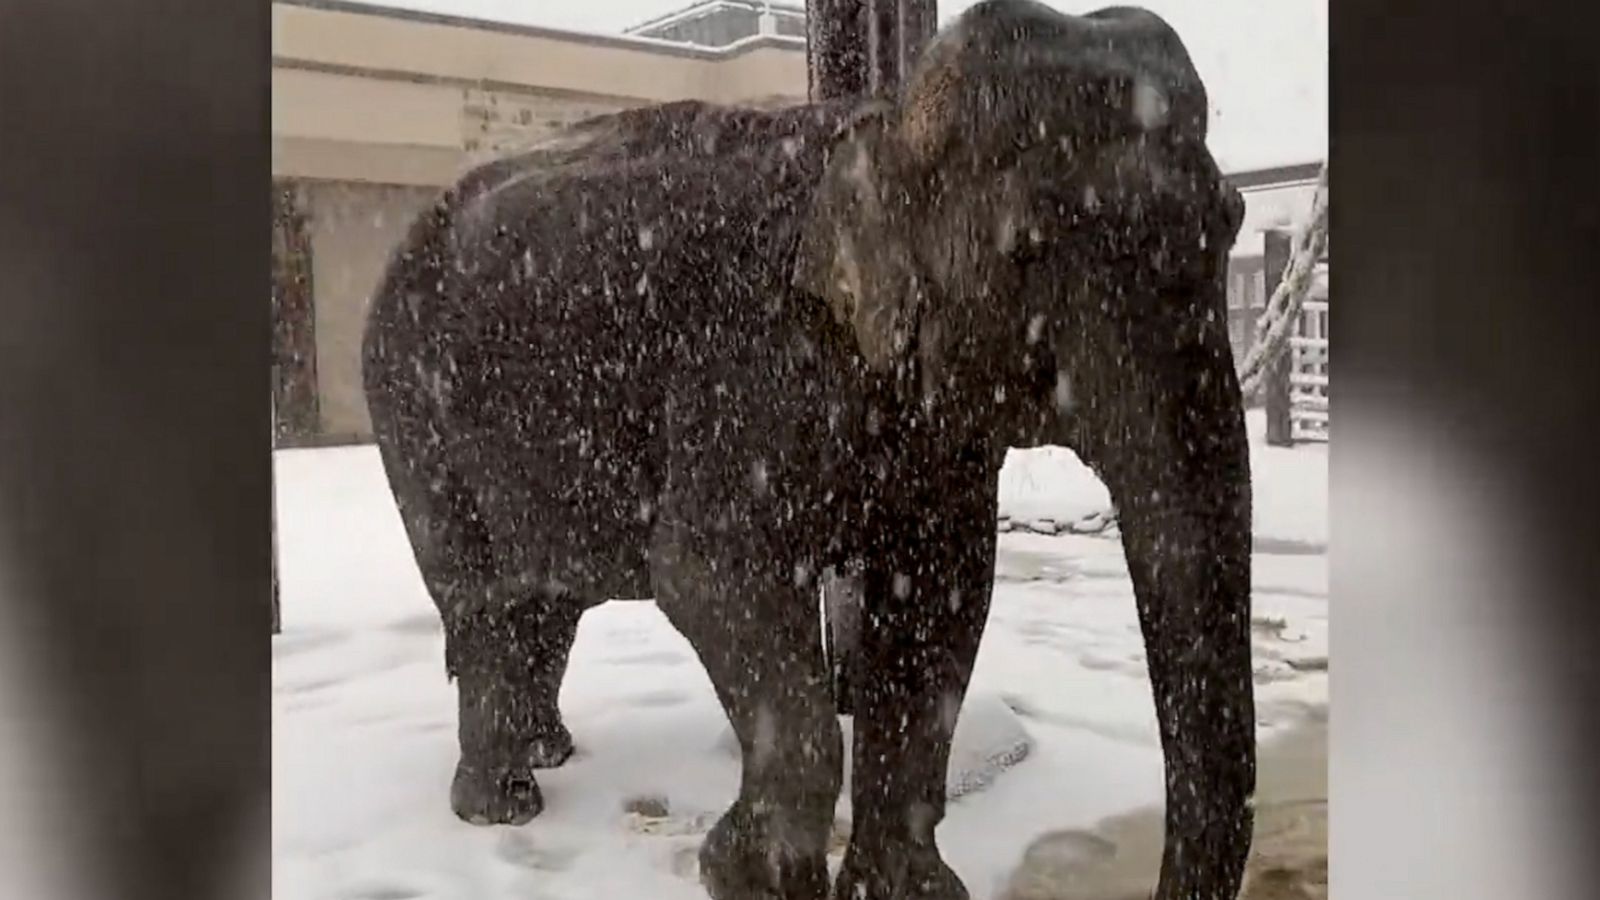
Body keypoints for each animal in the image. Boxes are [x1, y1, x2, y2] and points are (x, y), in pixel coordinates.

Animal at [360, 1, 1248, 896]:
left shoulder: (934, 424)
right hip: (409, 408)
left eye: (1233, 224)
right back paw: (502, 804)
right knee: (484, 604)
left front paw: (904, 889)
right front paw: (751, 874)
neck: (883, 121)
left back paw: (552, 751)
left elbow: (943, 595)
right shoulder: (747, 363)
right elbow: (710, 573)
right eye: (1028, 250)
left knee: (544, 599)